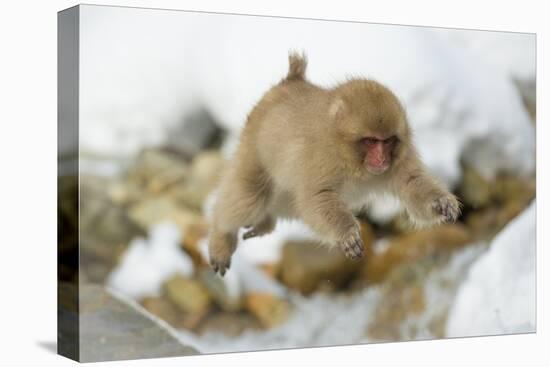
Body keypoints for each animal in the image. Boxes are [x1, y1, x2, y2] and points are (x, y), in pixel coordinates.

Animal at [209, 51, 460, 276]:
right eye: (371, 141)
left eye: (387, 141)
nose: (382, 159)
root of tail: (289, 82)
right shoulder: (321, 157)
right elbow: (318, 197)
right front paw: (347, 234)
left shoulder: (401, 156)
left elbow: (411, 183)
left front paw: (441, 202)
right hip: (254, 150)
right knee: (250, 197)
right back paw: (221, 235)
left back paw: (264, 223)